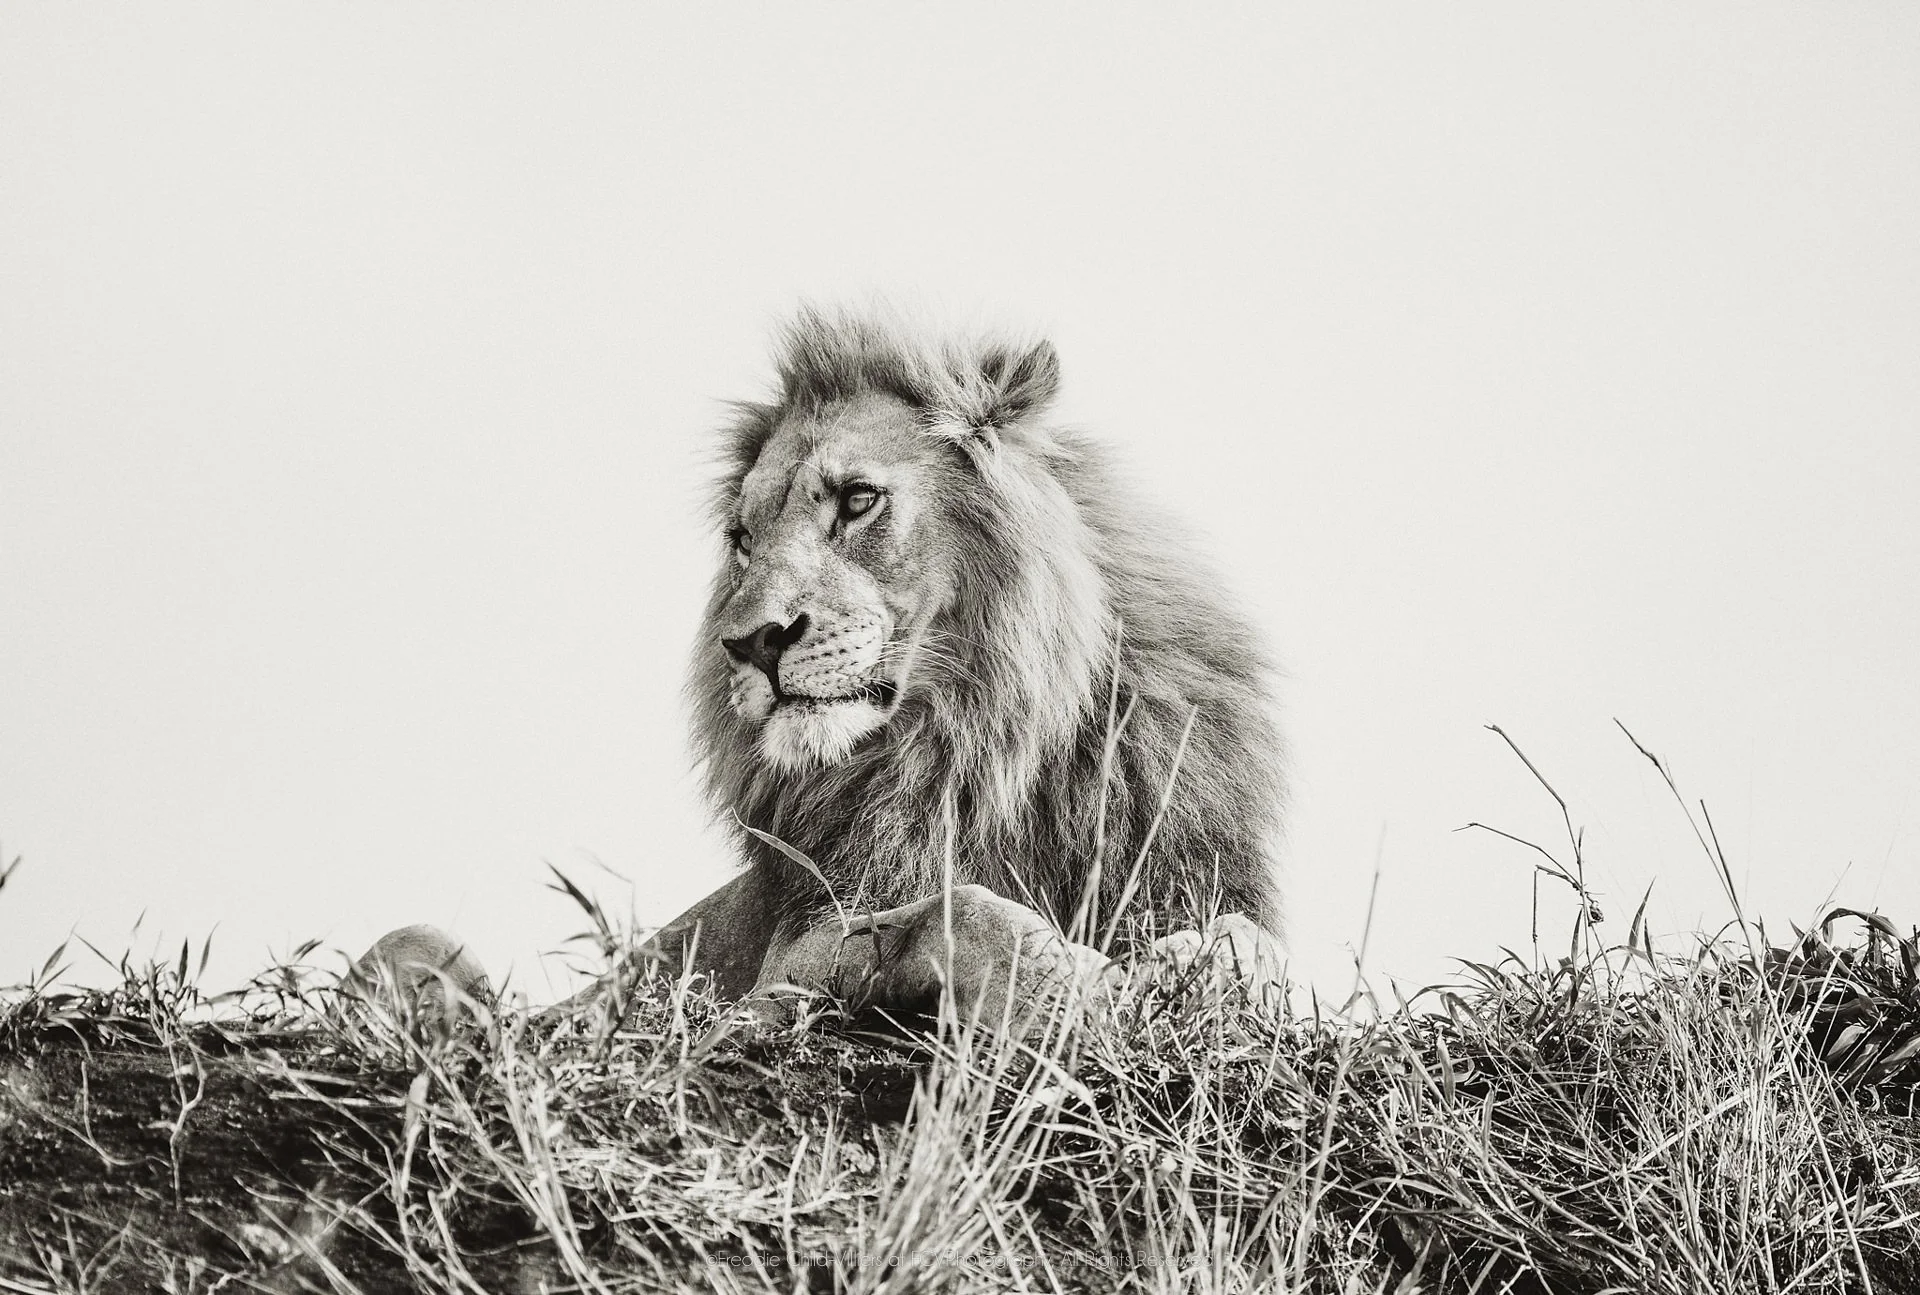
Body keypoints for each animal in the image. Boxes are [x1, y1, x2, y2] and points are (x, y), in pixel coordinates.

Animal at [355, 309, 1287, 1032]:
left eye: (857, 500)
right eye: (742, 539)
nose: (752, 642)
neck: (976, 743)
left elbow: (1254, 944)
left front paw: (1179, 970)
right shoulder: (793, 954)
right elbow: (960, 909)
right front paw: (1074, 985)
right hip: (422, 946)